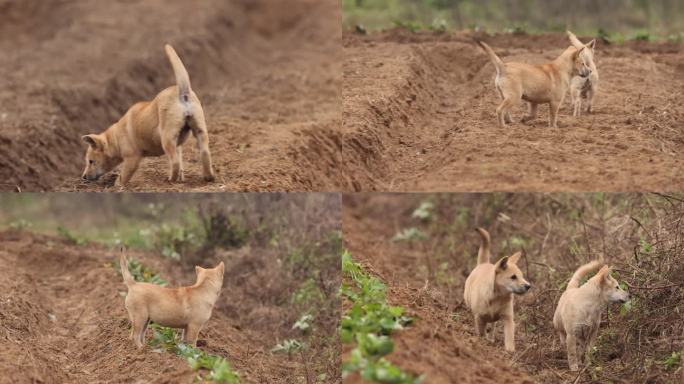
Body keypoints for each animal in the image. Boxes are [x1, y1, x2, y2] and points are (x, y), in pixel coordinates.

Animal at [83, 44, 216, 187]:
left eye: (91, 161)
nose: (83, 177)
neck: (115, 138)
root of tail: (182, 93)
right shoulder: (178, 145)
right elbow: (181, 162)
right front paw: (182, 178)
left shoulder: (132, 158)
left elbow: (123, 177)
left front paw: (117, 186)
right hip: (200, 130)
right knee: (204, 153)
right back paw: (208, 177)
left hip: (167, 138)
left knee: (174, 161)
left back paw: (171, 180)